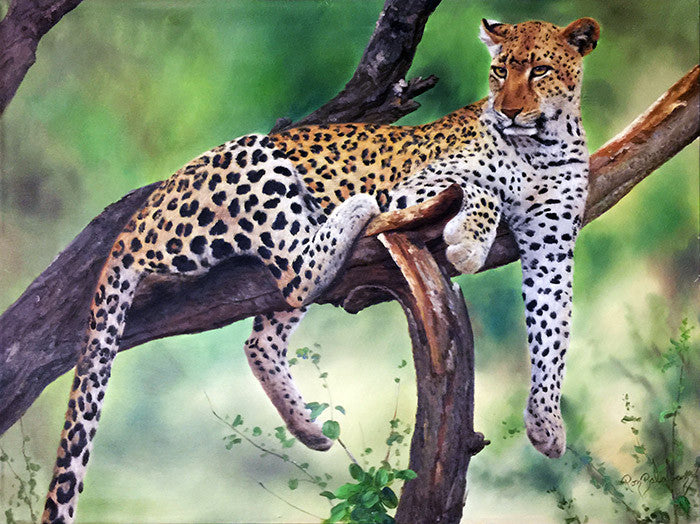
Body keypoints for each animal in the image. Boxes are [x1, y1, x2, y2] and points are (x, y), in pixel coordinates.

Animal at [43, 16, 599, 523]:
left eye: (540, 70)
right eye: (499, 71)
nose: (508, 112)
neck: (542, 147)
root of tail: (143, 208)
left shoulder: (553, 244)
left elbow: (553, 327)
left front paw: (546, 422)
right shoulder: (414, 190)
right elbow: (479, 184)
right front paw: (468, 242)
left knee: (266, 330)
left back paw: (309, 429)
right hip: (251, 159)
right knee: (298, 269)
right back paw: (353, 209)